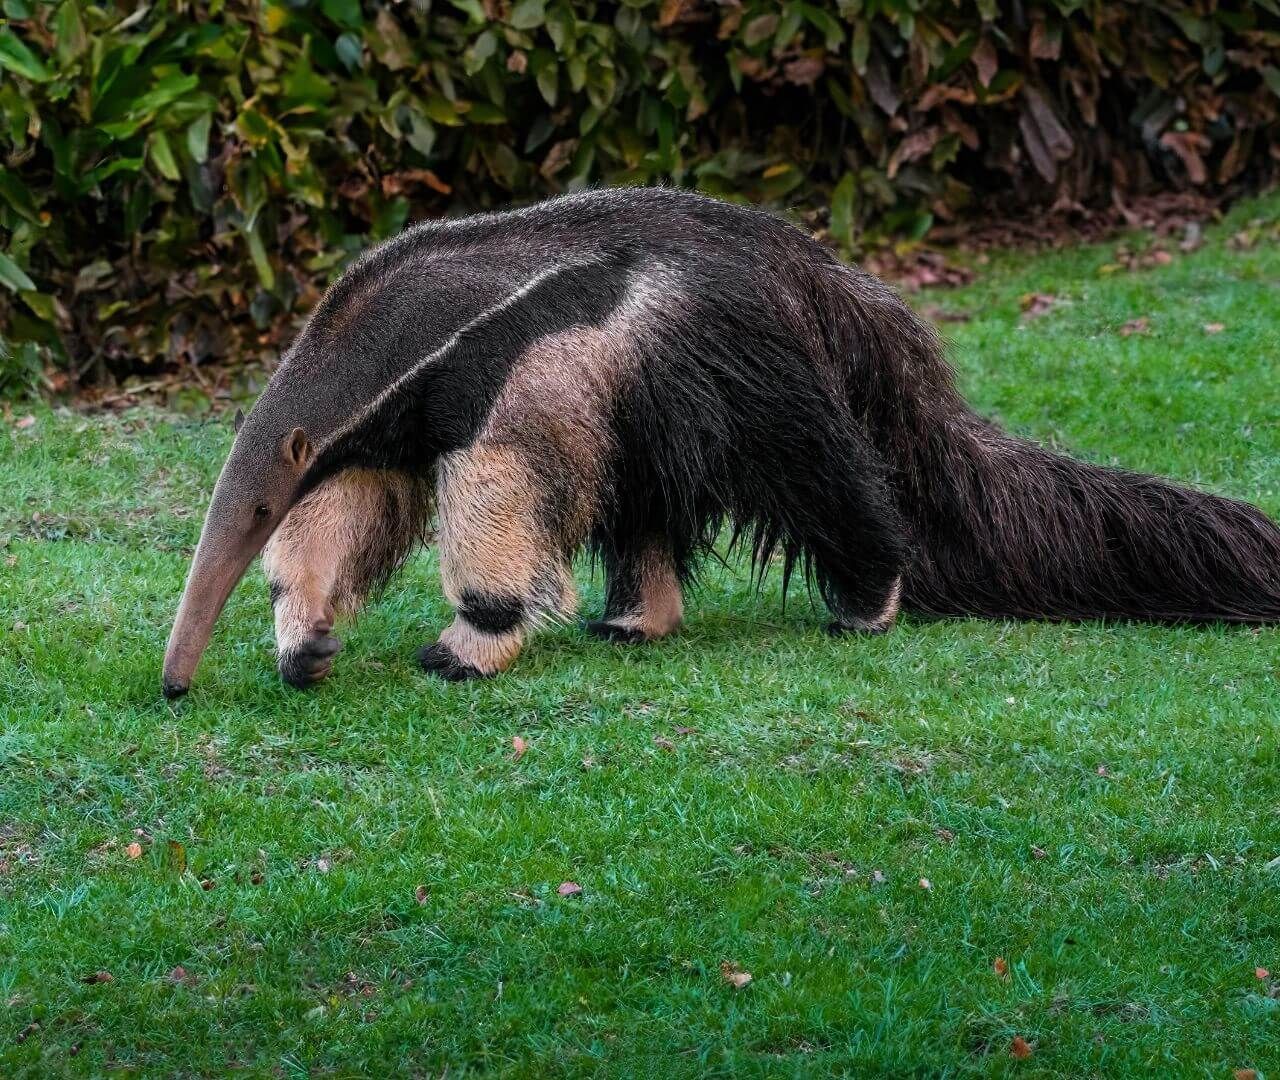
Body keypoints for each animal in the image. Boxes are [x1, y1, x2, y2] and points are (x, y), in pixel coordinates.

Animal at [162, 188, 1280, 696]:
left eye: (251, 504)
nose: (174, 681)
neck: (424, 322)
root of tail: (808, 271)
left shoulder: (513, 373)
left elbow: (497, 495)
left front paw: (464, 646)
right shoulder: (404, 417)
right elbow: (354, 509)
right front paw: (305, 640)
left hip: (737, 367)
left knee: (820, 479)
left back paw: (868, 600)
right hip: (664, 400)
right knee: (648, 507)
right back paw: (636, 620)